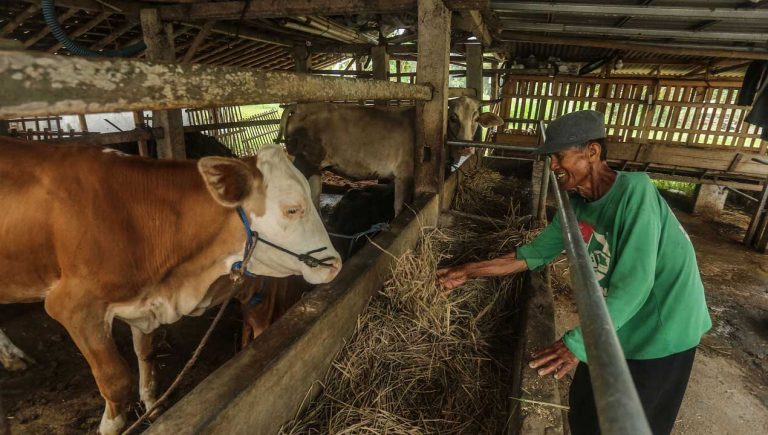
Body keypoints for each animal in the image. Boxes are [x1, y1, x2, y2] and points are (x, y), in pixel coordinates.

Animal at [0, 139, 342, 432]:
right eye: (292, 208)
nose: (335, 263)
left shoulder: (145, 303)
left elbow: (146, 354)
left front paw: (152, 405)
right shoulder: (74, 308)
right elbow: (116, 381)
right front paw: (113, 425)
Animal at [280, 98, 504, 215]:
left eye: (476, 117)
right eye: (453, 117)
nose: (466, 147)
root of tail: (300, 105)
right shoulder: (404, 175)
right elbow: (398, 209)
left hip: (315, 167)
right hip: (302, 162)